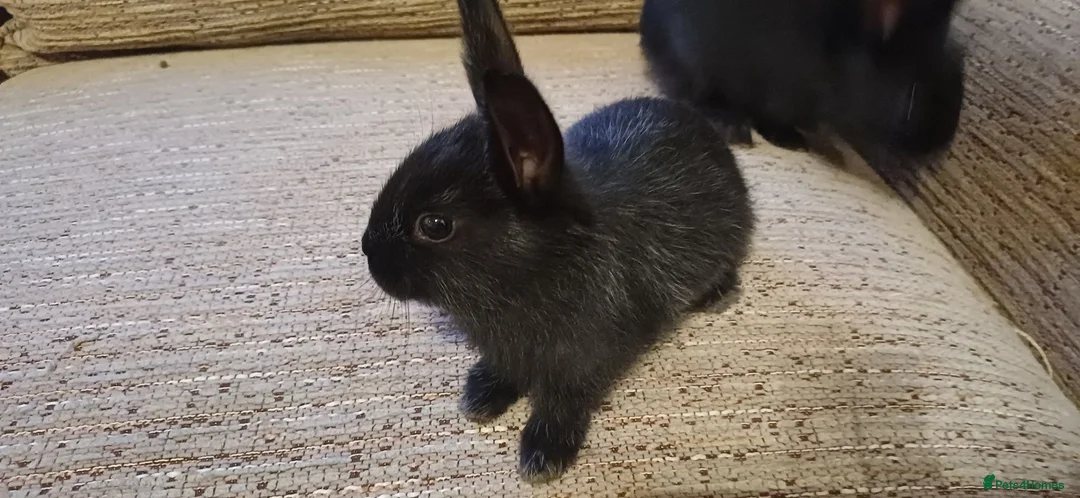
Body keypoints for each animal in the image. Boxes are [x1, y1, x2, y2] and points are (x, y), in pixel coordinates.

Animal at [361, 0, 754, 483]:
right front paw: (480, 395)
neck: (535, 270)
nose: (367, 250)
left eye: (435, 225)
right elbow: (505, 370)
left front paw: (543, 453)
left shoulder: (581, 361)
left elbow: (563, 400)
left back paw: (718, 294)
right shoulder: (509, 350)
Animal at [639, 0, 966, 160]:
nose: (939, 141)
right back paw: (729, 124)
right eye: (912, 95)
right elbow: (773, 116)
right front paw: (790, 141)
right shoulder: (778, 90)